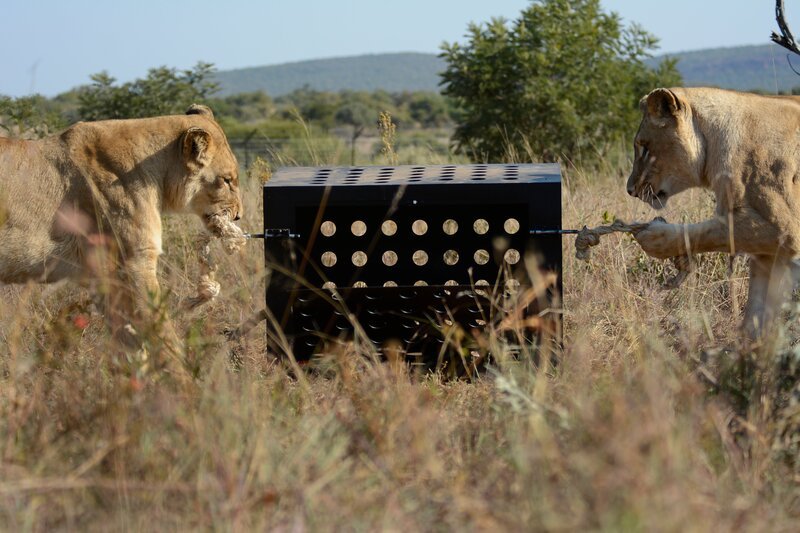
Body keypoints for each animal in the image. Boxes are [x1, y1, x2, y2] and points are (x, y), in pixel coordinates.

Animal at [0, 104, 243, 350]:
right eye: (227, 180)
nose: (239, 216)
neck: (156, 174)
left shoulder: (104, 278)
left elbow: (128, 340)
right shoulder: (133, 264)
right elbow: (160, 333)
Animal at [627, 87, 800, 337]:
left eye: (644, 147)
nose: (629, 189)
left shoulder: (785, 229)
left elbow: (705, 233)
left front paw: (654, 237)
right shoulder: (769, 251)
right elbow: (757, 311)